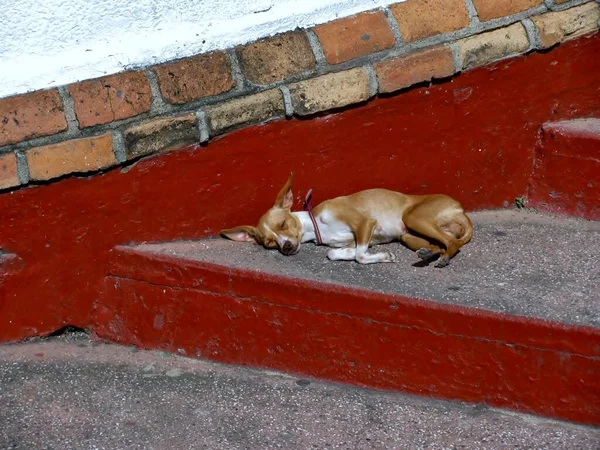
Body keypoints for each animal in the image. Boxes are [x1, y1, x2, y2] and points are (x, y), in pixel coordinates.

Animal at [220, 173, 474, 268]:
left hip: (413, 217)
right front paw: (349, 254)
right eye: (270, 243)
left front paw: (381, 256)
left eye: (282, 224)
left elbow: (361, 255)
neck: (317, 225)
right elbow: (335, 253)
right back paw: (430, 254)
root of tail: (459, 208)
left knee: (453, 244)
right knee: (440, 243)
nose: (287, 247)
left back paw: (443, 257)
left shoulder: (365, 223)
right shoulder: (355, 238)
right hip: (409, 235)